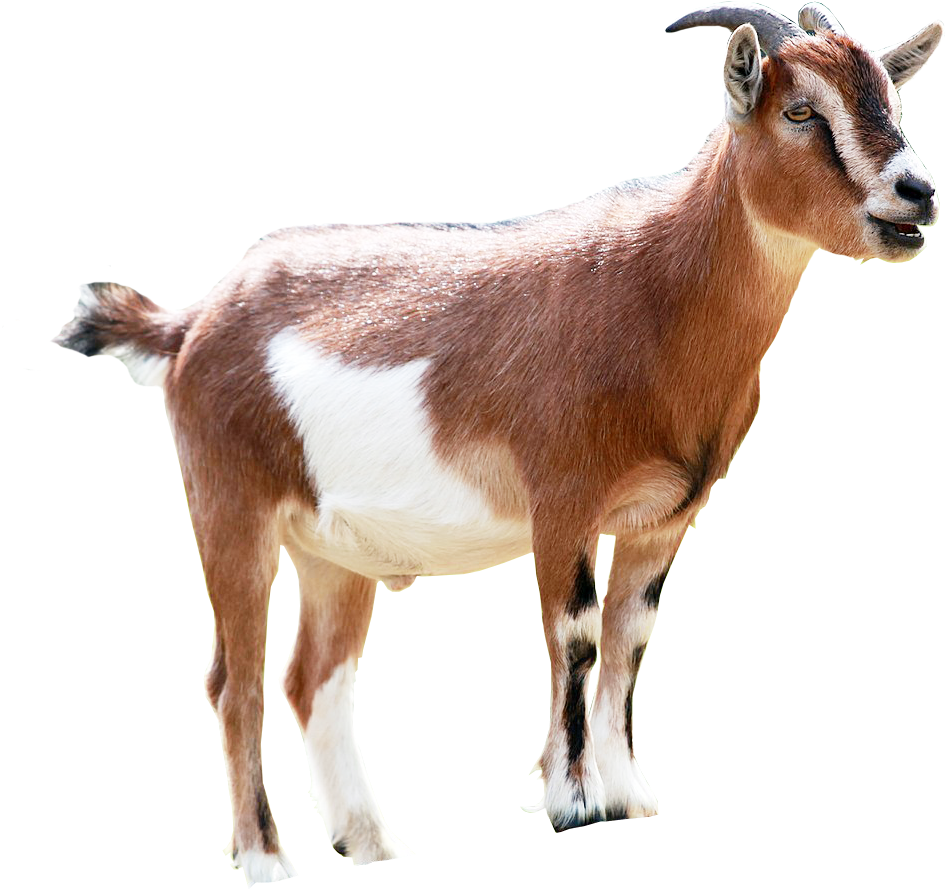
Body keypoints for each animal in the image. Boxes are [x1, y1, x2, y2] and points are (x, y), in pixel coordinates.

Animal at [52, 3, 941, 882]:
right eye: (800, 112)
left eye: (892, 101)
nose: (917, 193)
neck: (658, 289)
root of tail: (193, 322)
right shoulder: (564, 501)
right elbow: (577, 634)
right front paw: (574, 803)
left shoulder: (664, 517)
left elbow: (632, 637)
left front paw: (629, 796)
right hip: (231, 509)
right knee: (232, 679)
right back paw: (269, 861)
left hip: (334, 552)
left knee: (312, 677)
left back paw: (375, 843)